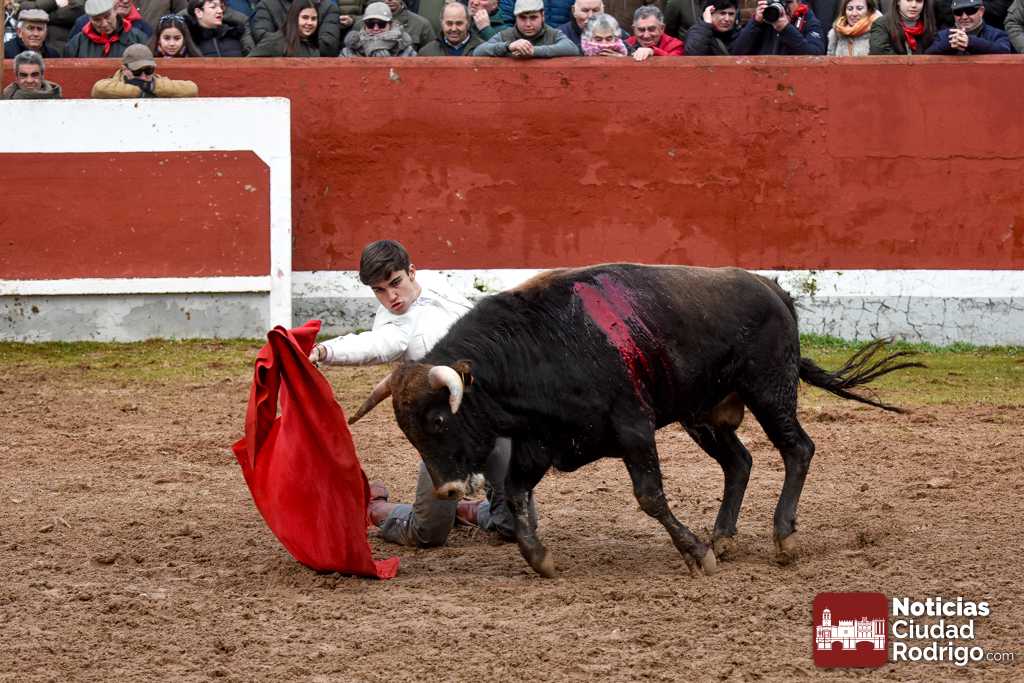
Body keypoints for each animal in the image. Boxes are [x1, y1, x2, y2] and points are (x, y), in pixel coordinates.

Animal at [349, 264, 922, 578]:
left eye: (438, 420)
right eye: (408, 430)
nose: (446, 490)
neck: (540, 348)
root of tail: (774, 291)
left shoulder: (632, 429)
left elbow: (649, 496)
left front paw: (694, 555)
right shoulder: (539, 443)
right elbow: (514, 494)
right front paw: (540, 559)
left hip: (770, 391)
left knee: (797, 449)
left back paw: (782, 538)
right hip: (704, 416)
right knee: (739, 462)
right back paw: (724, 536)